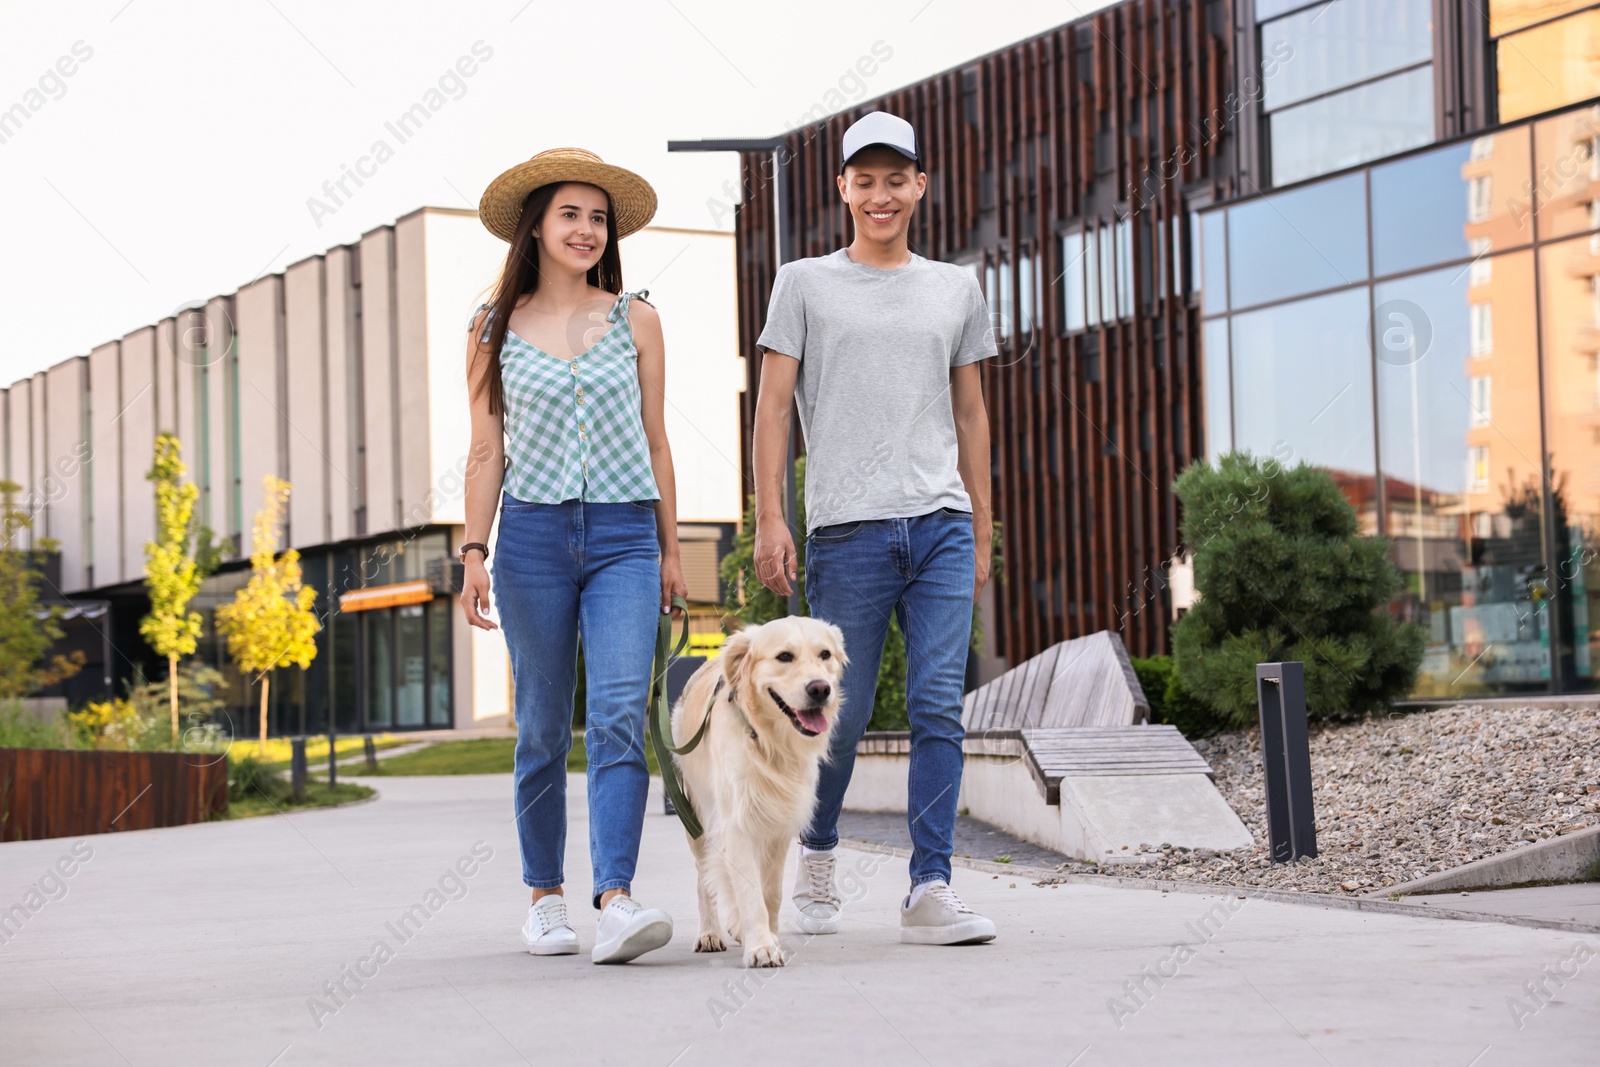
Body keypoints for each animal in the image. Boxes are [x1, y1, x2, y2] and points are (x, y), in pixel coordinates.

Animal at [668, 614, 851, 972]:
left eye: (825, 654)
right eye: (784, 656)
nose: (820, 689)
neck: (769, 742)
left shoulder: (779, 826)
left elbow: (770, 893)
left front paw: (769, 937)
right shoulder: (735, 824)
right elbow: (747, 890)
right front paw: (760, 947)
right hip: (695, 813)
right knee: (705, 876)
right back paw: (710, 932)